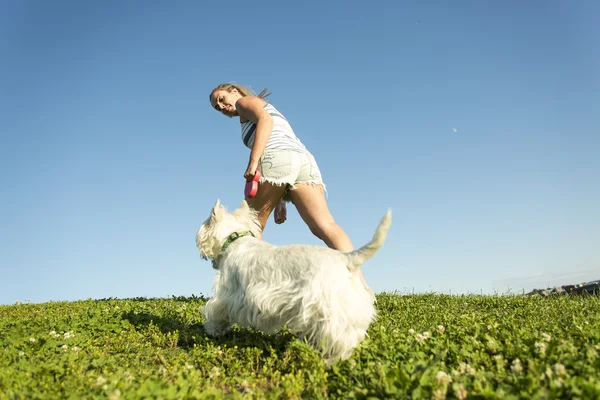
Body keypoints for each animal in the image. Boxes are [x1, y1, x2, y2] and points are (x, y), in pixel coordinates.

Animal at [197, 199, 394, 362]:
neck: (235, 239)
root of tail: (346, 258)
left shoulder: (227, 294)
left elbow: (217, 311)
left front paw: (213, 330)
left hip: (330, 309)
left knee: (342, 338)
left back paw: (333, 360)